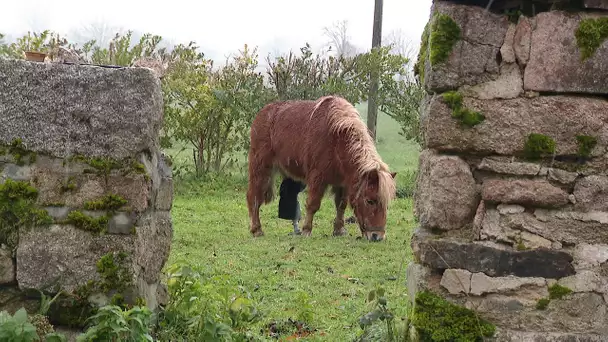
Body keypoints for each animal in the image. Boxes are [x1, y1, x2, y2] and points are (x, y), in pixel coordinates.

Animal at [245, 95, 396, 240]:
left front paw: (339, 230)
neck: (336, 140)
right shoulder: (317, 178)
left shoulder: (343, 182)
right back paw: (256, 229)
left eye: (387, 204)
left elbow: (341, 205)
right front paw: (307, 230)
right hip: (260, 168)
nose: (377, 236)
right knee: (254, 196)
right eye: (370, 201)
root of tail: (262, 114)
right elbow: (313, 204)